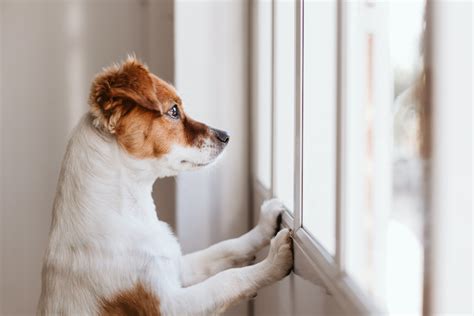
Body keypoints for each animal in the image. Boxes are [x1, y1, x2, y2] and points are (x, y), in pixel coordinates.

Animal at [38, 57, 292, 316]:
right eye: (173, 111)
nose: (226, 135)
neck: (130, 213)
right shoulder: (169, 305)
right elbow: (227, 279)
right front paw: (274, 261)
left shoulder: (177, 267)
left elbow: (225, 248)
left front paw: (264, 225)